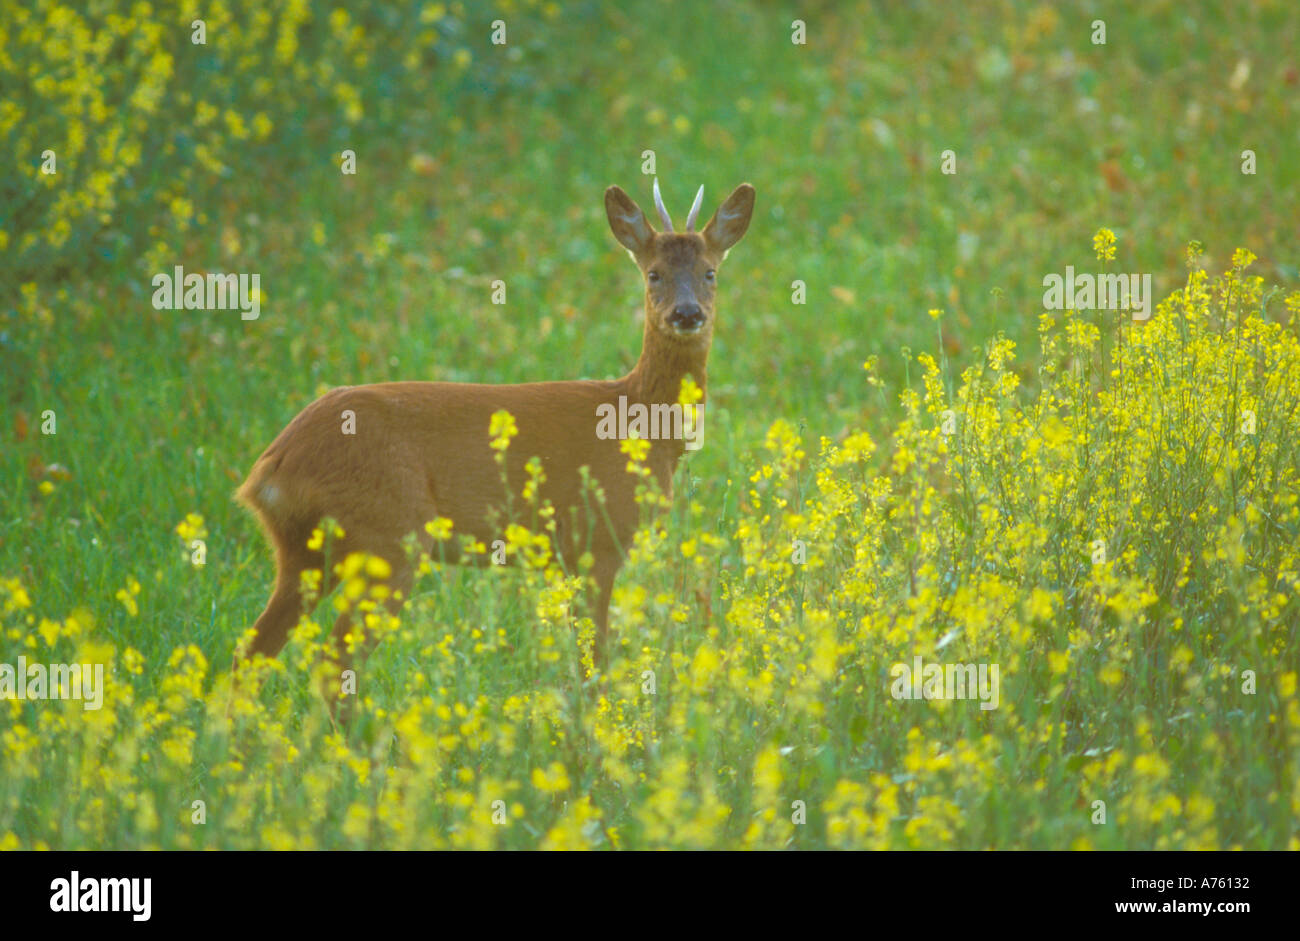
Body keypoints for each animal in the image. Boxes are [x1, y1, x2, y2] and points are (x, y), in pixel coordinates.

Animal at [234, 179, 755, 679]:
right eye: (654, 273)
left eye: (710, 272)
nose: (686, 313)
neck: (640, 423)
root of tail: (271, 468)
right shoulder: (595, 540)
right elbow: (595, 662)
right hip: (387, 535)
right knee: (333, 660)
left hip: (303, 551)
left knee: (250, 653)